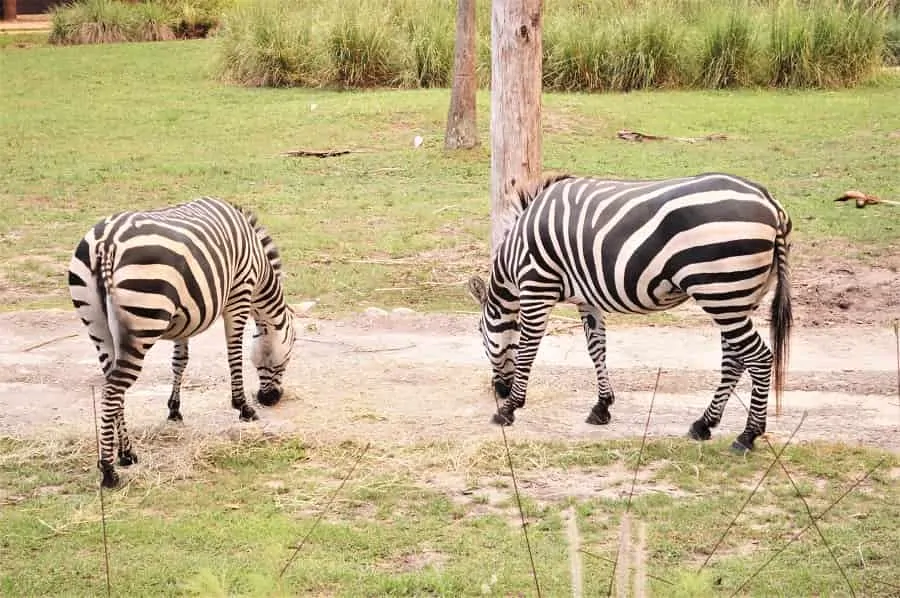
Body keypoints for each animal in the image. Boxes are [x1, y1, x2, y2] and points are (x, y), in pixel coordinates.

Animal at [68, 199, 298, 490]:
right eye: (288, 357)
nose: (269, 400)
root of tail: (107, 242)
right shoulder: (239, 293)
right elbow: (233, 352)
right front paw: (243, 407)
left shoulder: (186, 314)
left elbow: (180, 361)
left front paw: (174, 409)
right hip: (143, 321)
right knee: (112, 391)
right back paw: (109, 470)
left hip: (98, 325)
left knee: (112, 383)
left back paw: (127, 453)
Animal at [468, 171, 792, 452]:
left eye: (481, 334)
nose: (499, 390)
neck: (514, 254)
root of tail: (770, 202)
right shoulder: (588, 298)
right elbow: (596, 349)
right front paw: (602, 406)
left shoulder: (537, 287)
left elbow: (526, 352)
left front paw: (509, 409)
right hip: (737, 297)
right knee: (735, 360)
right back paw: (703, 424)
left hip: (721, 291)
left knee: (759, 358)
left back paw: (747, 436)